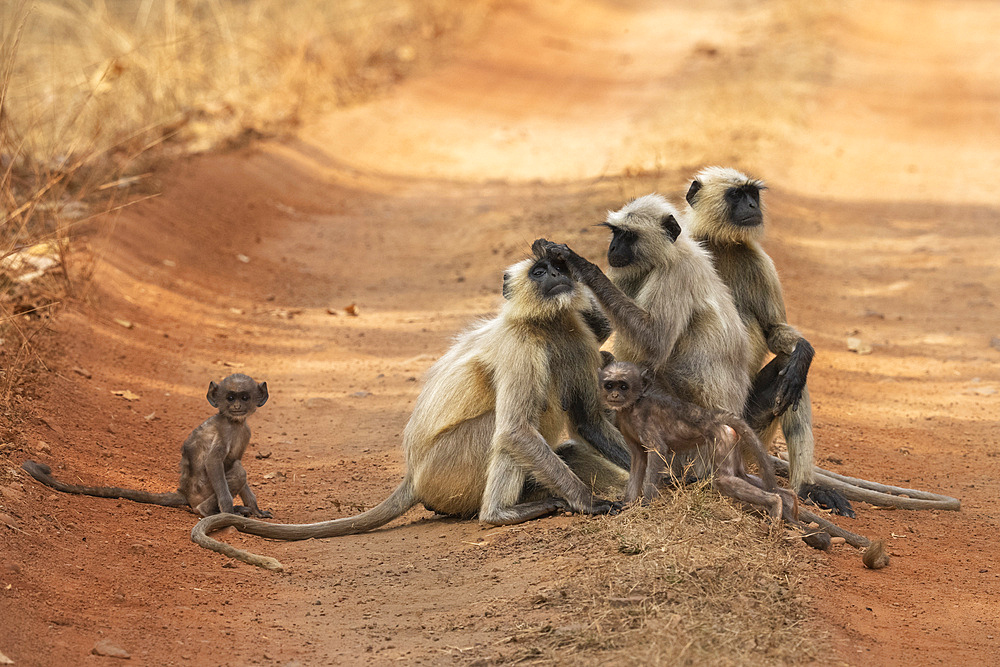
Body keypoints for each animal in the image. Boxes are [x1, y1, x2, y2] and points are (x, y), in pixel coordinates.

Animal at [23, 374, 272, 520]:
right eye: (230, 397)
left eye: (244, 397)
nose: (237, 406)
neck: (233, 423)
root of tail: (183, 492)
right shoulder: (222, 432)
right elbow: (214, 463)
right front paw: (228, 512)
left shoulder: (245, 432)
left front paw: (255, 509)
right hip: (202, 493)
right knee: (237, 471)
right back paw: (208, 511)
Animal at [192, 248, 628, 572]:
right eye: (539, 272)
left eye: (559, 268)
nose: (556, 274)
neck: (547, 324)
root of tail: (413, 475)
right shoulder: (521, 346)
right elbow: (515, 430)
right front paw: (590, 503)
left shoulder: (577, 337)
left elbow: (589, 422)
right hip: (448, 468)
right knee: (504, 429)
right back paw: (499, 515)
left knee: (564, 448)